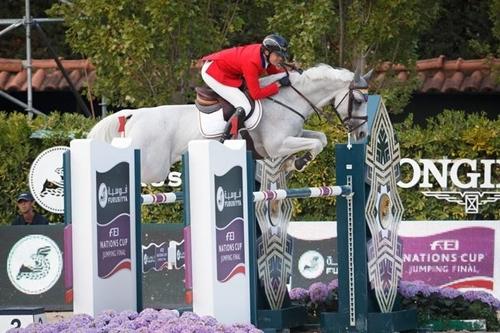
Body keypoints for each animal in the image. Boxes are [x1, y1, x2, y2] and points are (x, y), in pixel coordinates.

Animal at [88, 63, 372, 183]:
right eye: (358, 100)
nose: (361, 136)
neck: (287, 99)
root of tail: (134, 115)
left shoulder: (296, 134)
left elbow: (320, 139)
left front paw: (295, 164)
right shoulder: (276, 145)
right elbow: (312, 144)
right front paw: (296, 163)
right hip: (153, 168)